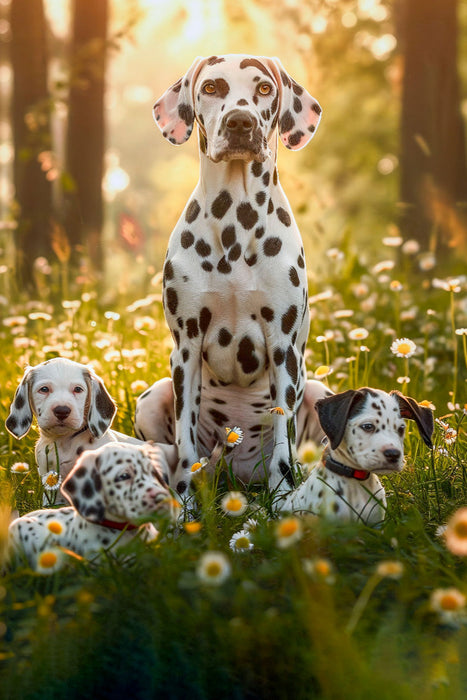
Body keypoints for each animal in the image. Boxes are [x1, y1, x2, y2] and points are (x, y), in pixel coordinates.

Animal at [135, 54, 330, 494]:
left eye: (264, 88)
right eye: (211, 87)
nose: (240, 122)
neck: (235, 222)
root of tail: (236, 470)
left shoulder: (283, 347)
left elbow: (283, 440)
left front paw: (282, 498)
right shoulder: (186, 348)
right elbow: (185, 442)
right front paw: (184, 503)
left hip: (317, 391)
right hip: (152, 398)